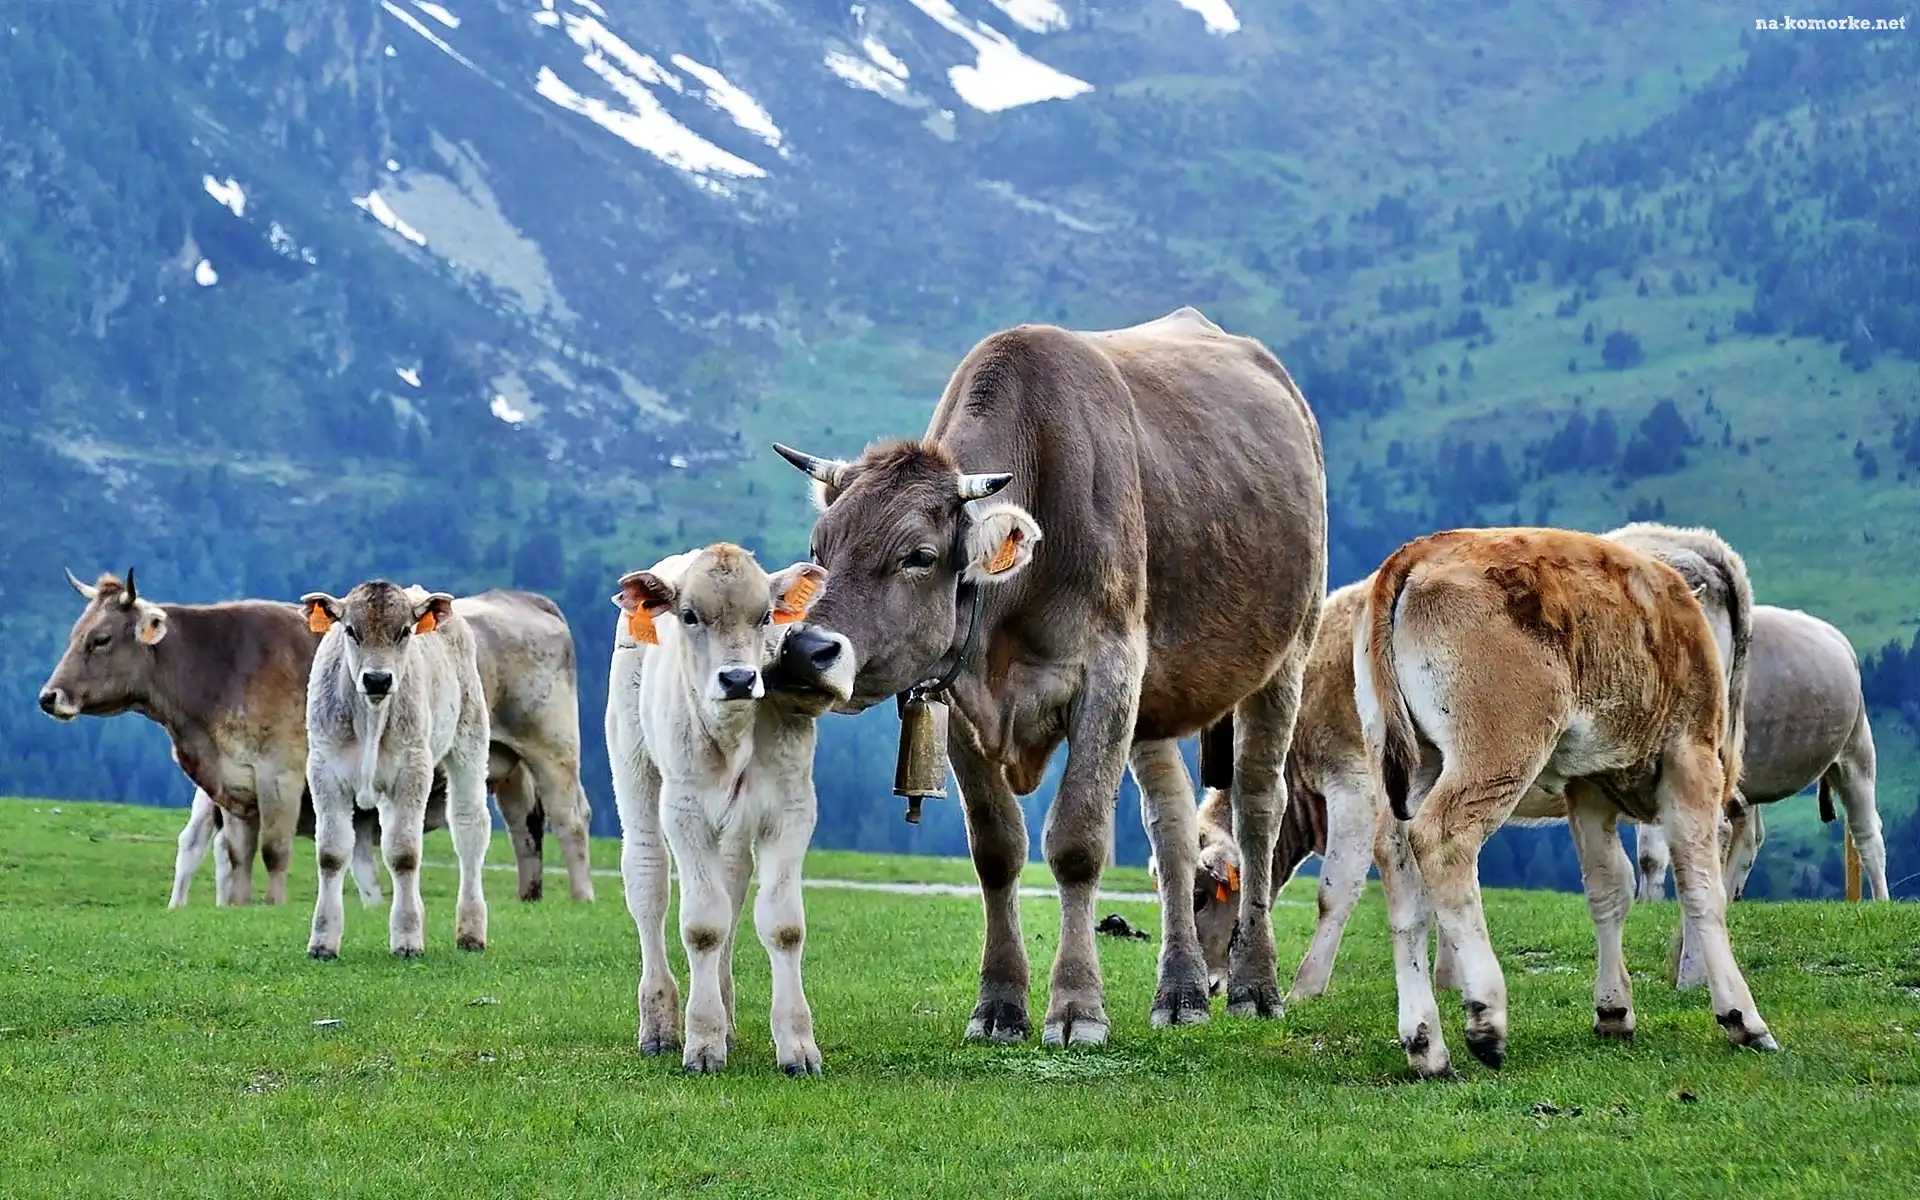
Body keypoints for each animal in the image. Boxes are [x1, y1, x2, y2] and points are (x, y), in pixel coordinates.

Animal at [41, 571, 598, 908]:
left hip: (551, 749)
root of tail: (525, 599)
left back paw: (582, 896)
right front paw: (237, 906)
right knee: (525, 828)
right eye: (75, 634)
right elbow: (236, 852)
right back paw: (529, 896)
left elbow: (274, 849)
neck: (222, 668)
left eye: (101, 640)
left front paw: (273, 905)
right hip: (505, 765)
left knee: (571, 820)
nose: (50, 696)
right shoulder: (233, 784)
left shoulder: (280, 774)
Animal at [301, 580, 492, 958]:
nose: (377, 679)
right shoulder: (323, 769)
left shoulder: (412, 770)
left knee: (469, 830)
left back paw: (471, 931)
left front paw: (407, 939)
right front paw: (323, 942)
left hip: (470, 740)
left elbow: (404, 854)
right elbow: (331, 853)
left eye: (404, 631)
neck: (370, 717)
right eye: (350, 630)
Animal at [605, 544, 852, 1074]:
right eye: (689, 616)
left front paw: (797, 1045)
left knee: (733, 889)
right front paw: (702, 1043)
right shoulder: (684, 811)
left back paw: (727, 1017)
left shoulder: (793, 809)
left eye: (765, 618)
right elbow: (702, 926)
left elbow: (782, 925)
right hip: (633, 765)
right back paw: (659, 1025)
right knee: (647, 880)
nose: (739, 678)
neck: (731, 737)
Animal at [767, 306, 1328, 1046]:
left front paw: (1077, 1008)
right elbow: (997, 848)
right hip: (1156, 702)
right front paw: (999, 1005)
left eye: (919, 555)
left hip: (1285, 656)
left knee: (1259, 807)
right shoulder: (959, 697)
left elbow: (1077, 842)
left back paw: (1253, 988)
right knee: (1173, 826)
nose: (804, 651)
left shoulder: (1108, 675)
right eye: (819, 545)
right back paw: (1181, 993)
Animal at [1355, 526, 1776, 1077]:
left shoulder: (1587, 783)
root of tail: (1422, 550)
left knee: (1397, 855)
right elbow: (1702, 889)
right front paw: (1742, 1017)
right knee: (1443, 840)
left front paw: (1614, 1010)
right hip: (1498, 748)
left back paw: (1426, 1046)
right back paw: (1486, 1020)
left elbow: (1608, 887)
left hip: (1411, 761)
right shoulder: (1690, 758)